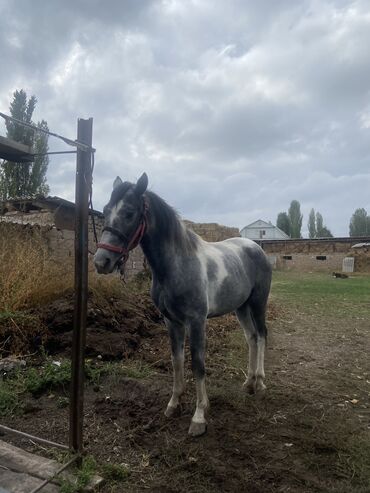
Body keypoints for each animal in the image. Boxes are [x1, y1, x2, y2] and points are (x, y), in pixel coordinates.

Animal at [92, 172, 272, 434]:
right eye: (106, 210)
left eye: (129, 212)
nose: (101, 261)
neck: (176, 265)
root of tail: (255, 247)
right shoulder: (171, 321)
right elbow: (176, 361)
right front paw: (174, 404)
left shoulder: (196, 321)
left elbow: (197, 363)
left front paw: (199, 416)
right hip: (241, 307)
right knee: (251, 338)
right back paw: (248, 383)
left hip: (258, 303)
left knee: (261, 336)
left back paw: (260, 384)